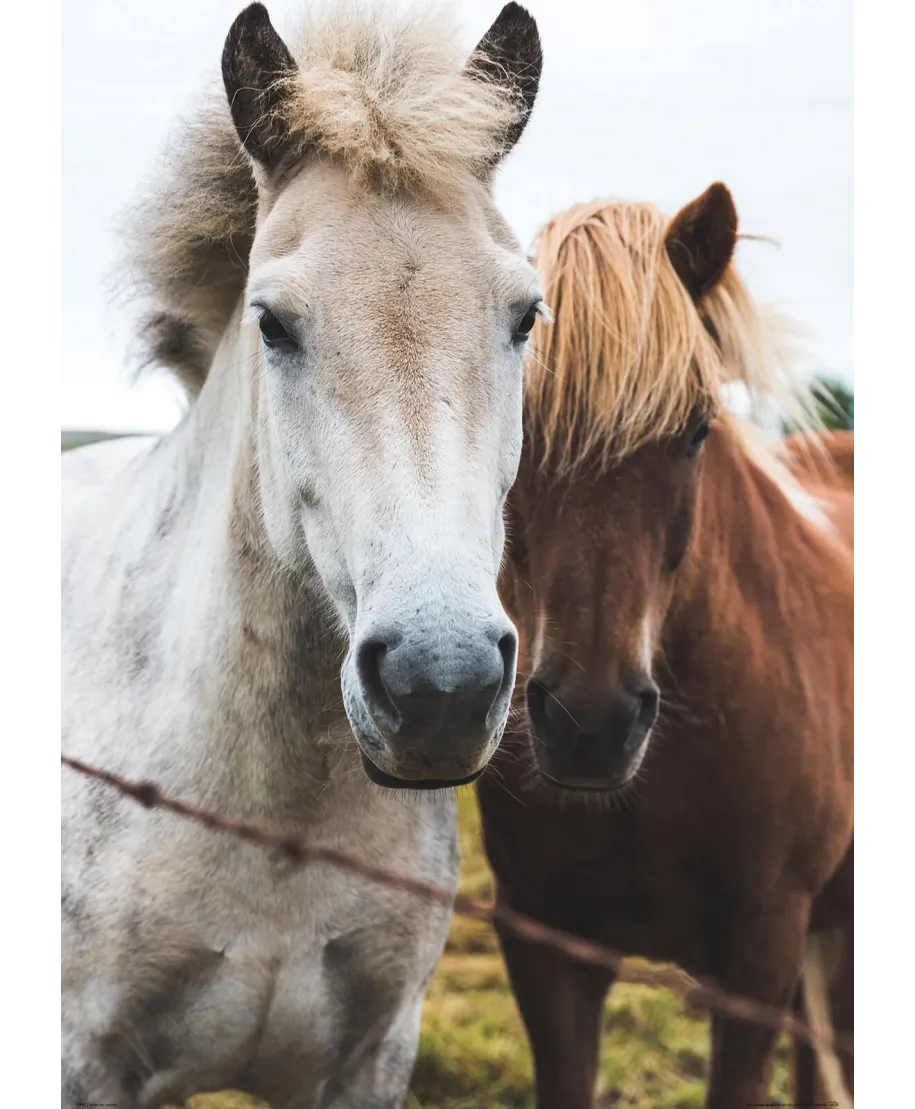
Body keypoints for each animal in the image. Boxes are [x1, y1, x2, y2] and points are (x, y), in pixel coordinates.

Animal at [56, 3, 545, 1106]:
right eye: (273, 322)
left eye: (524, 315)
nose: (440, 685)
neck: (276, 821)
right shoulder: (81, 1060)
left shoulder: (371, 1058)